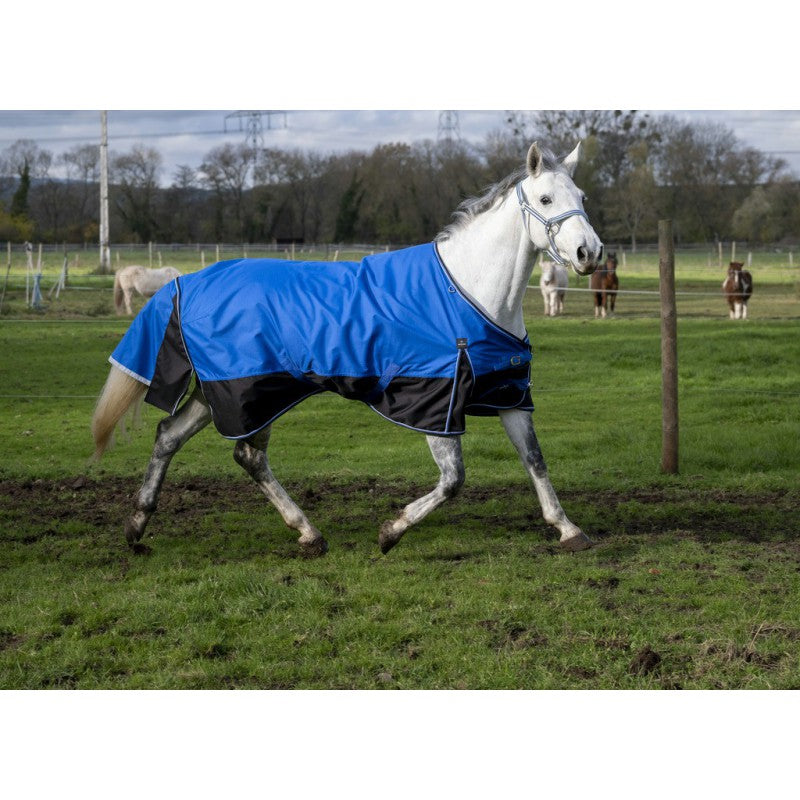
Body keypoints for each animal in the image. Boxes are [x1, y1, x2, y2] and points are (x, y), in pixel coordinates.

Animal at [91, 142, 603, 557]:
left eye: (581, 198)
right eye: (545, 199)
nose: (589, 254)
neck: (466, 290)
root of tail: (188, 281)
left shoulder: (509, 392)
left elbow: (535, 460)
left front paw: (568, 530)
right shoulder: (436, 403)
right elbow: (453, 480)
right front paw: (390, 532)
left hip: (223, 390)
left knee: (171, 436)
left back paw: (139, 526)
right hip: (252, 393)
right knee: (246, 456)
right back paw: (307, 532)